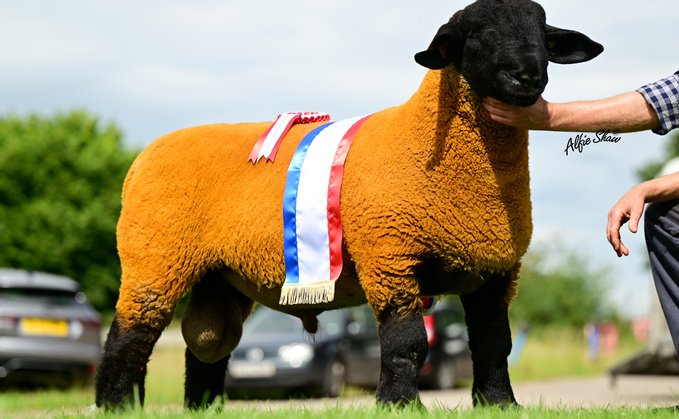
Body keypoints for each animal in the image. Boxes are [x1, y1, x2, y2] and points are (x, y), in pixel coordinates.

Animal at [93, 0, 604, 412]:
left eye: (542, 34)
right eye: (476, 33)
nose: (528, 76)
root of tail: (145, 156)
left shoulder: (496, 268)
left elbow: (495, 343)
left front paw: (499, 404)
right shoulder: (390, 254)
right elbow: (406, 343)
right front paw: (400, 406)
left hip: (219, 276)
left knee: (206, 345)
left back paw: (204, 409)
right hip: (153, 257)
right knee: (129, 336)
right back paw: (116, 406)